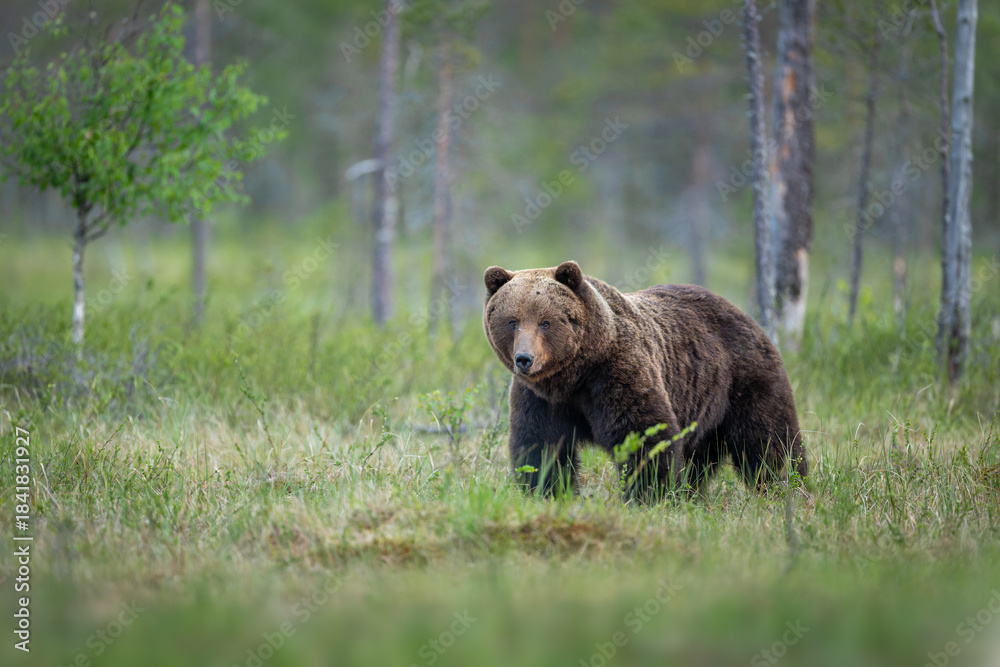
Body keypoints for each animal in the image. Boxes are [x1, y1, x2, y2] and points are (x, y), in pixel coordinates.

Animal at [483, 260, 807, 502]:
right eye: (512, 321)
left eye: (546, 322)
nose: (524, 359)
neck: (574, 375)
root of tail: (745, 314)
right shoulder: (540, 398)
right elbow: (541, 446)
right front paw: (548, 492)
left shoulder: (616, 372)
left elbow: (643, 434)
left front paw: (649, 495)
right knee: (699, 458)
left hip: (744, 379)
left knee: (769, 441)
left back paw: (789, 487)